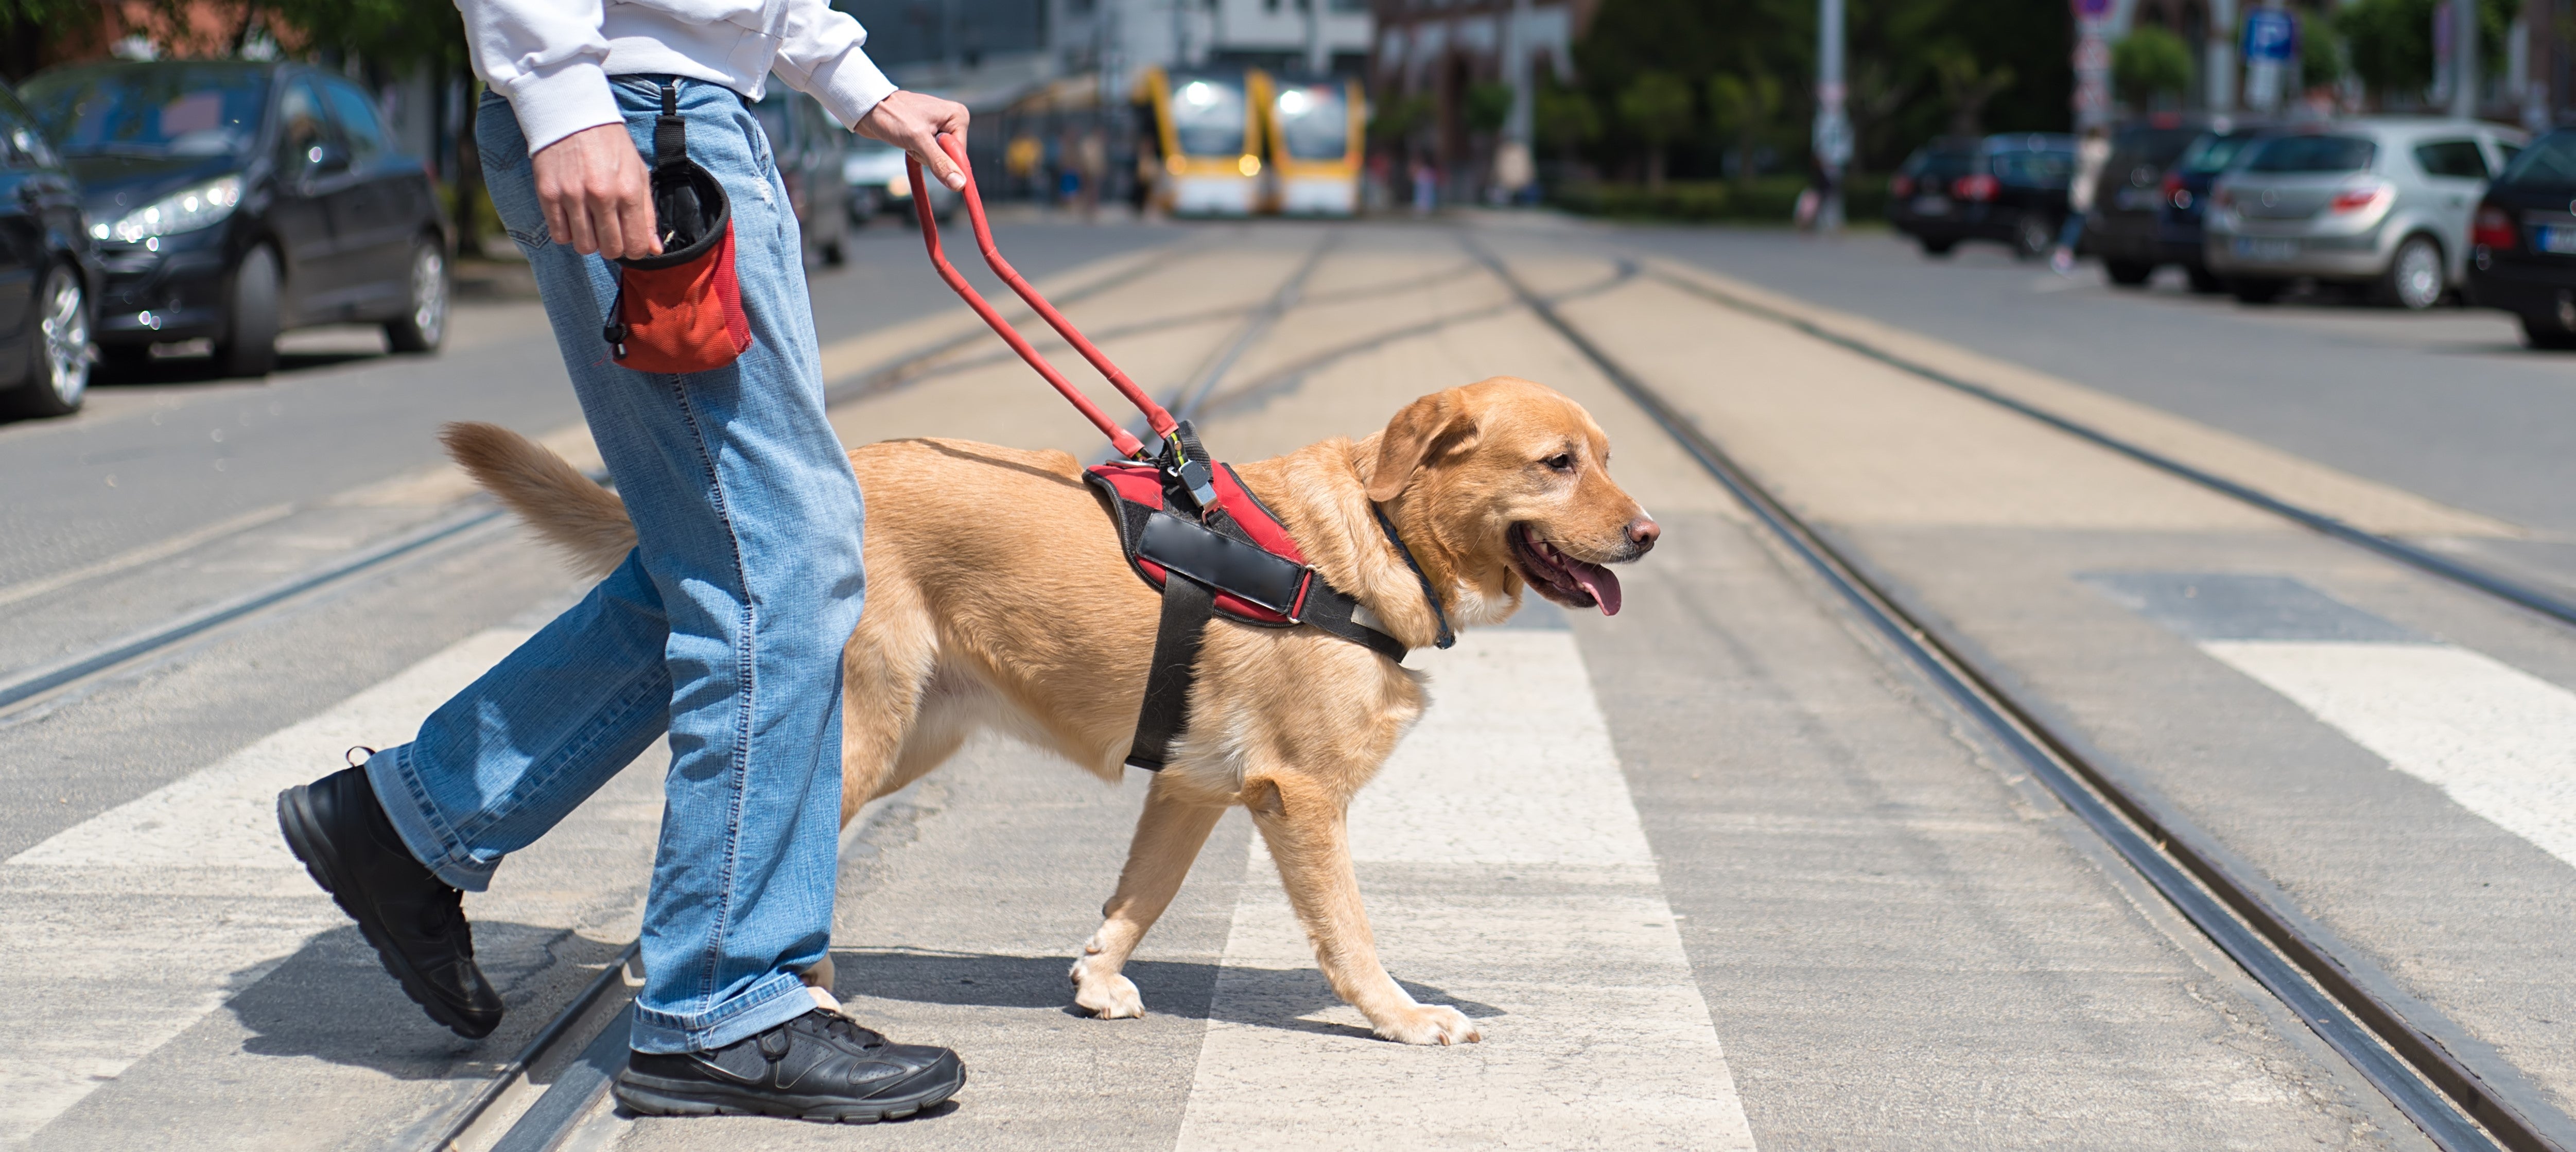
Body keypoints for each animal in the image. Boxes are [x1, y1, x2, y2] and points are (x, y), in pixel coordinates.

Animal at [450, 378, 1659, 1046]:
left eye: (1608, 456)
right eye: (1557, 463)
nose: (1648, 532)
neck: (1374, 537)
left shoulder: (1192, 789)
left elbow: (1139, 897)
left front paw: (1097, 977)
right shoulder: (1302, 797)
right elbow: (1350, 935)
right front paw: (1402, 1017)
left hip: (910, 737)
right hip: (860, 733)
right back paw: (748, 992)